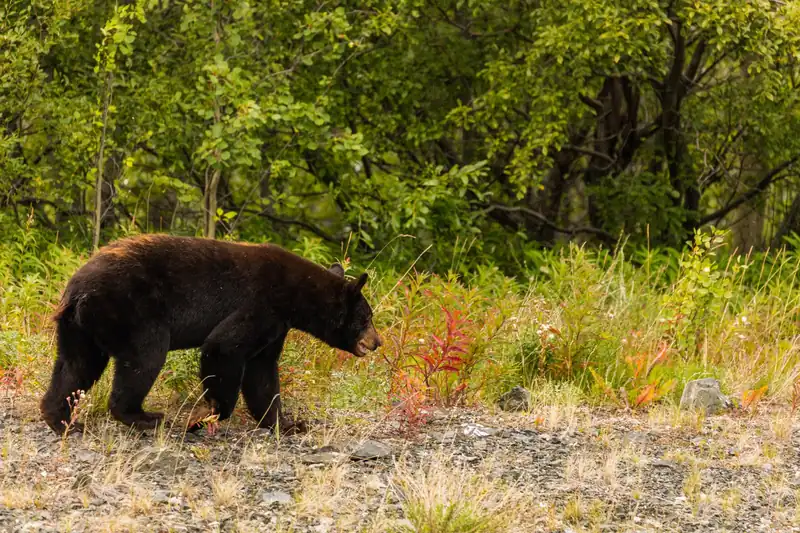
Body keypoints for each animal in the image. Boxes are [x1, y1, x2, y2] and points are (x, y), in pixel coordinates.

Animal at [39, 234, 382, 435]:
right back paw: (145, 417)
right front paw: (204, 416)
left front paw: (287, 423)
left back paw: (62, 420)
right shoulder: (260, 304)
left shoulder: (276, 326)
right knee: (145, 357)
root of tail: (77, 291)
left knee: (75, 366)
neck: (296, 295)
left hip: (80, 327)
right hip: (131, 309)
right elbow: (223, 347)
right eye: (367, 317)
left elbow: (262, 373)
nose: (377, 342)